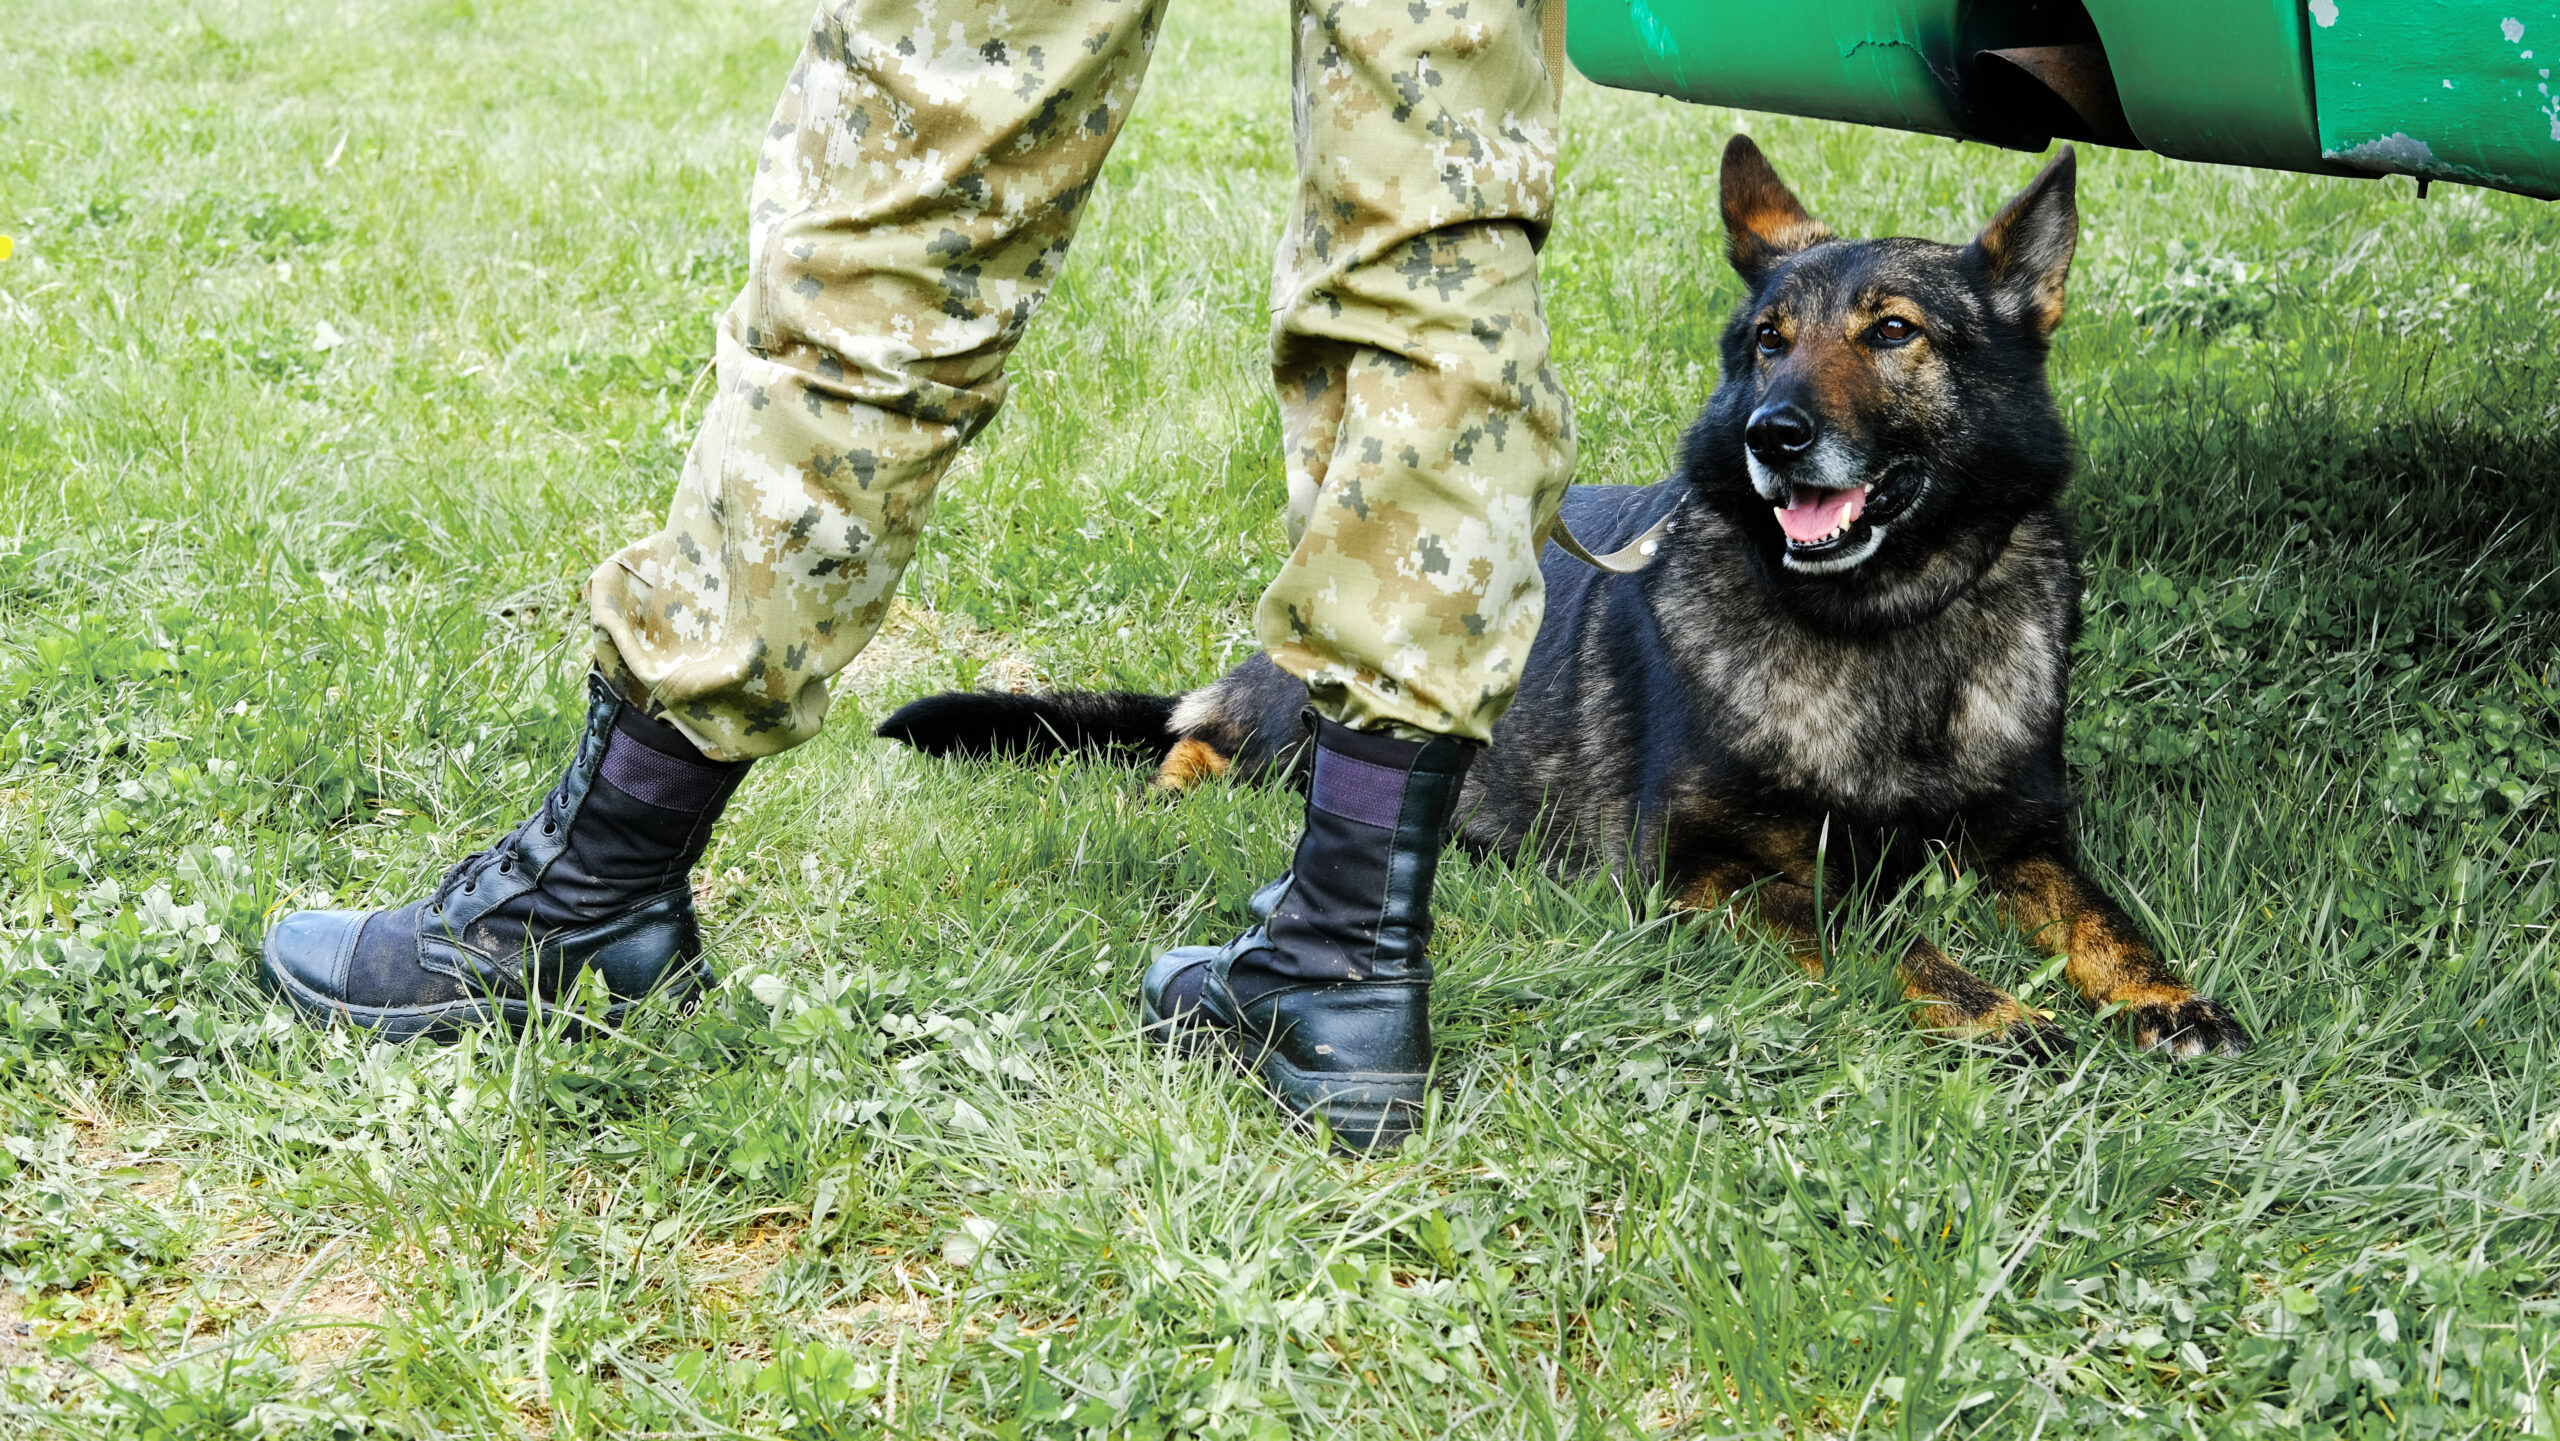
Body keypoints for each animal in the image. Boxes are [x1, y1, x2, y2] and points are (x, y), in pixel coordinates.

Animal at [890, 138, 2252, 1059]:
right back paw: (1185, 792)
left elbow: (2104, 917)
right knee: (1201, 741)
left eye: (1895, 333)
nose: (1771, 437)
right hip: (1302, 702)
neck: (1884, 628)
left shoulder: (2026, 837)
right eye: (1768, 338)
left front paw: (2160, 994)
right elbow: (1885, 932)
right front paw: (1998, 1010)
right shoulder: (1705, 867)